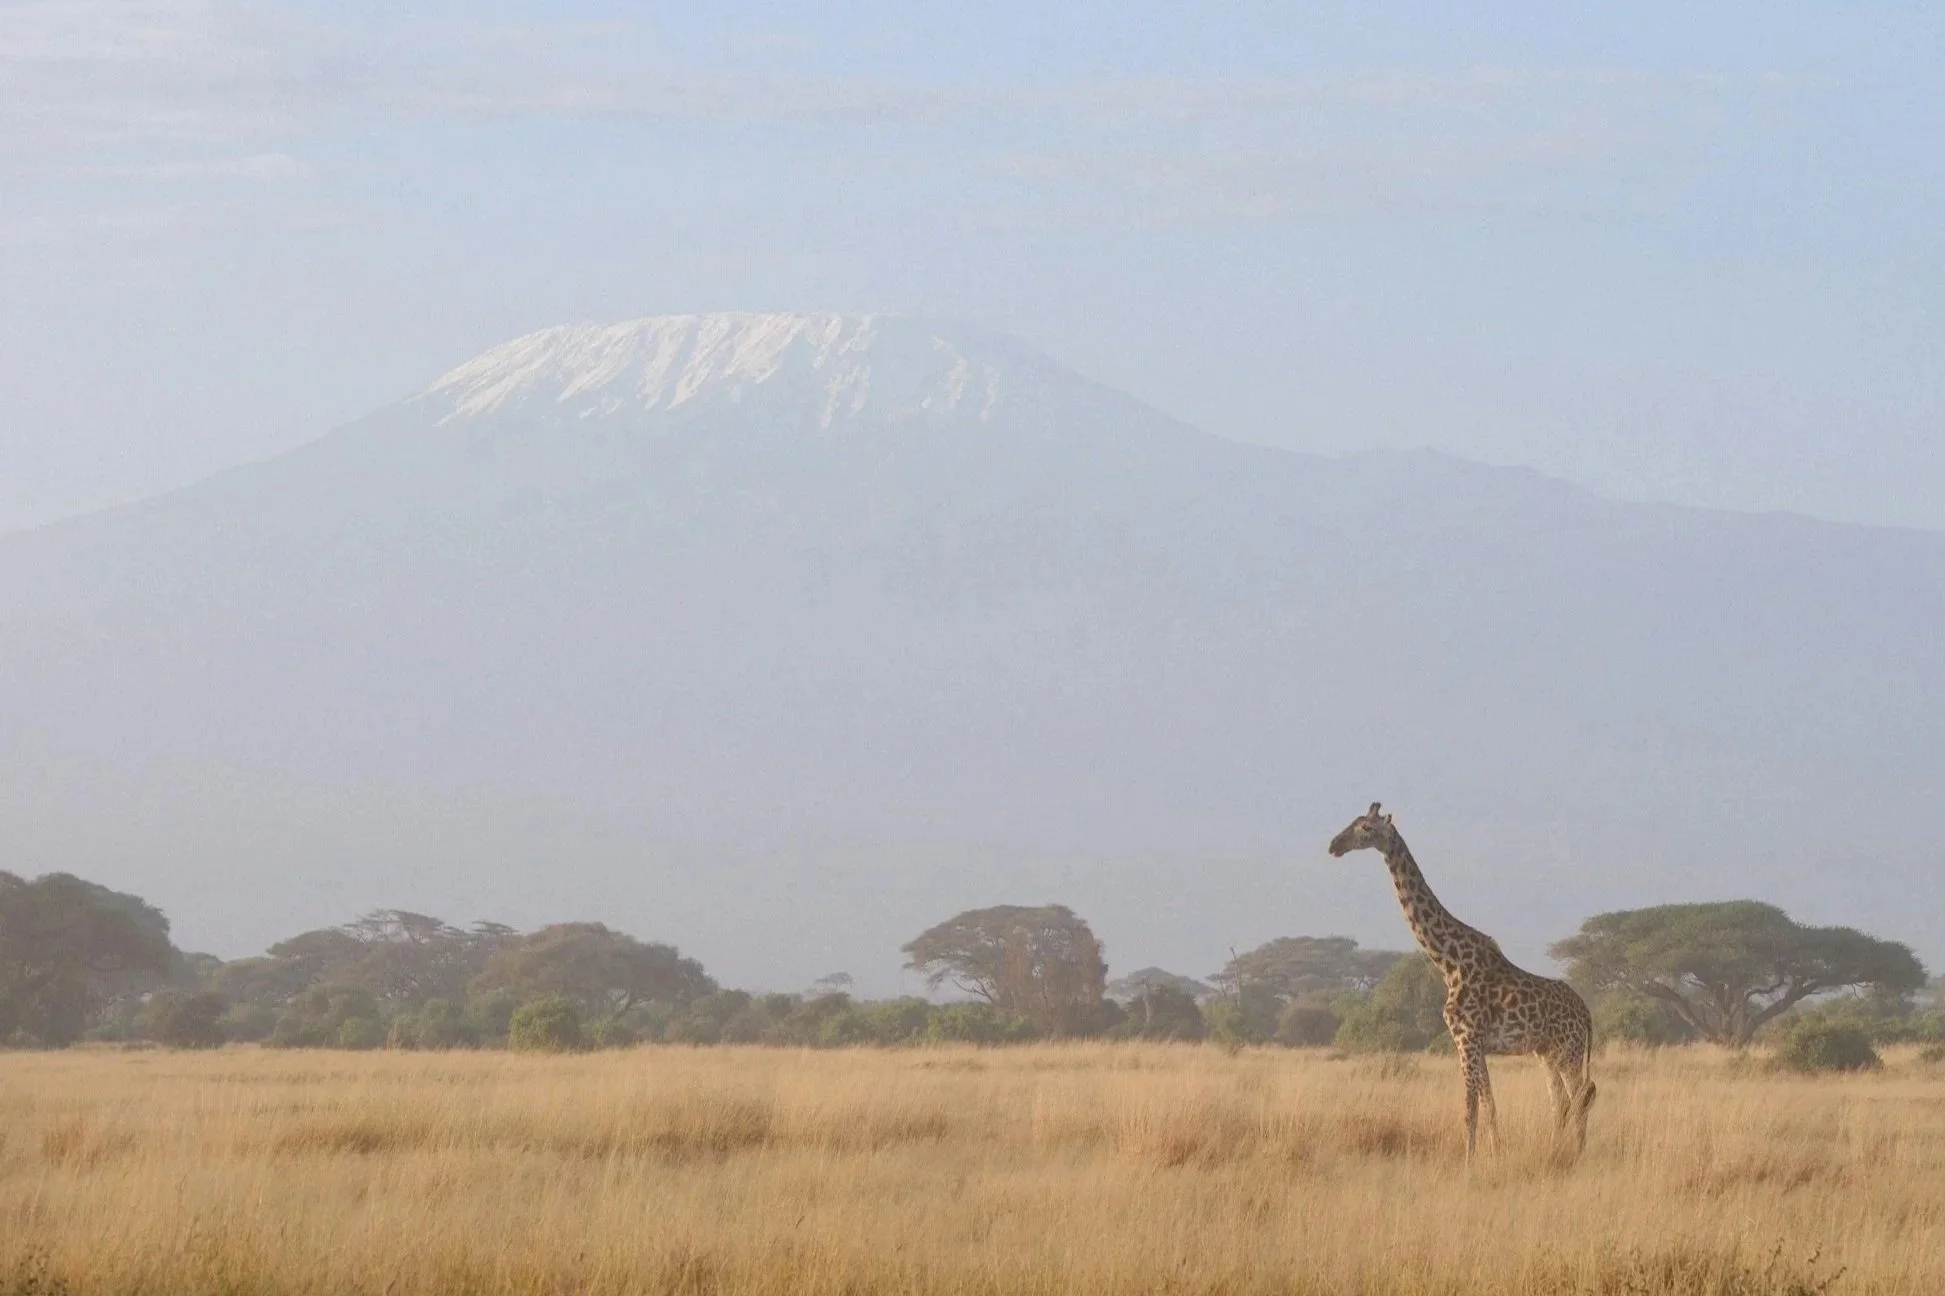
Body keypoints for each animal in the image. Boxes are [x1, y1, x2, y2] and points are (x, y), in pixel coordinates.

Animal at [1327, 803, 1596, 1166]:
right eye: (1353, 822)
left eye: (1366, 828)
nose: (1334, 845)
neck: (1447, 961)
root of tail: (1586, 1014)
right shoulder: (1475, 1043)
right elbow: (1489, 1106)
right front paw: (1495, 1156)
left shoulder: (1466, 1038)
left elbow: (1469, 1109)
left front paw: (1469, 1164)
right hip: (1547, 1052)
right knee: (1562, 1102)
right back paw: (1556, 1150)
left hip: (1569, 1050)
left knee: (1580, 1097)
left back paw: (1577, 1155)